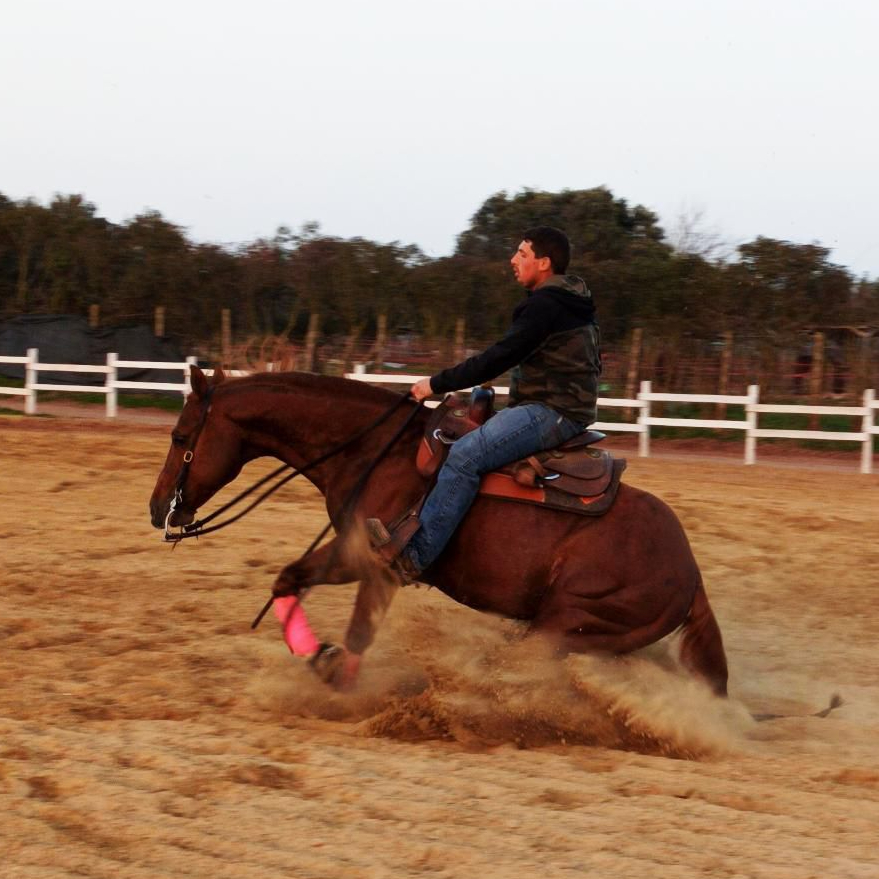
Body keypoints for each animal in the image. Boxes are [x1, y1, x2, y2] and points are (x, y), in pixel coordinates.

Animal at [149, 367, 729, 697]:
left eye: (180, 436)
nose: (158, 509)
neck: (374, 451)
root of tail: (691, 575)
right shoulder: (352, 555)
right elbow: (287, 580)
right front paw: (319, 658)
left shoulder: (375, 561)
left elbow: (355, 631)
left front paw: (338, 678)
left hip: (567, 622)